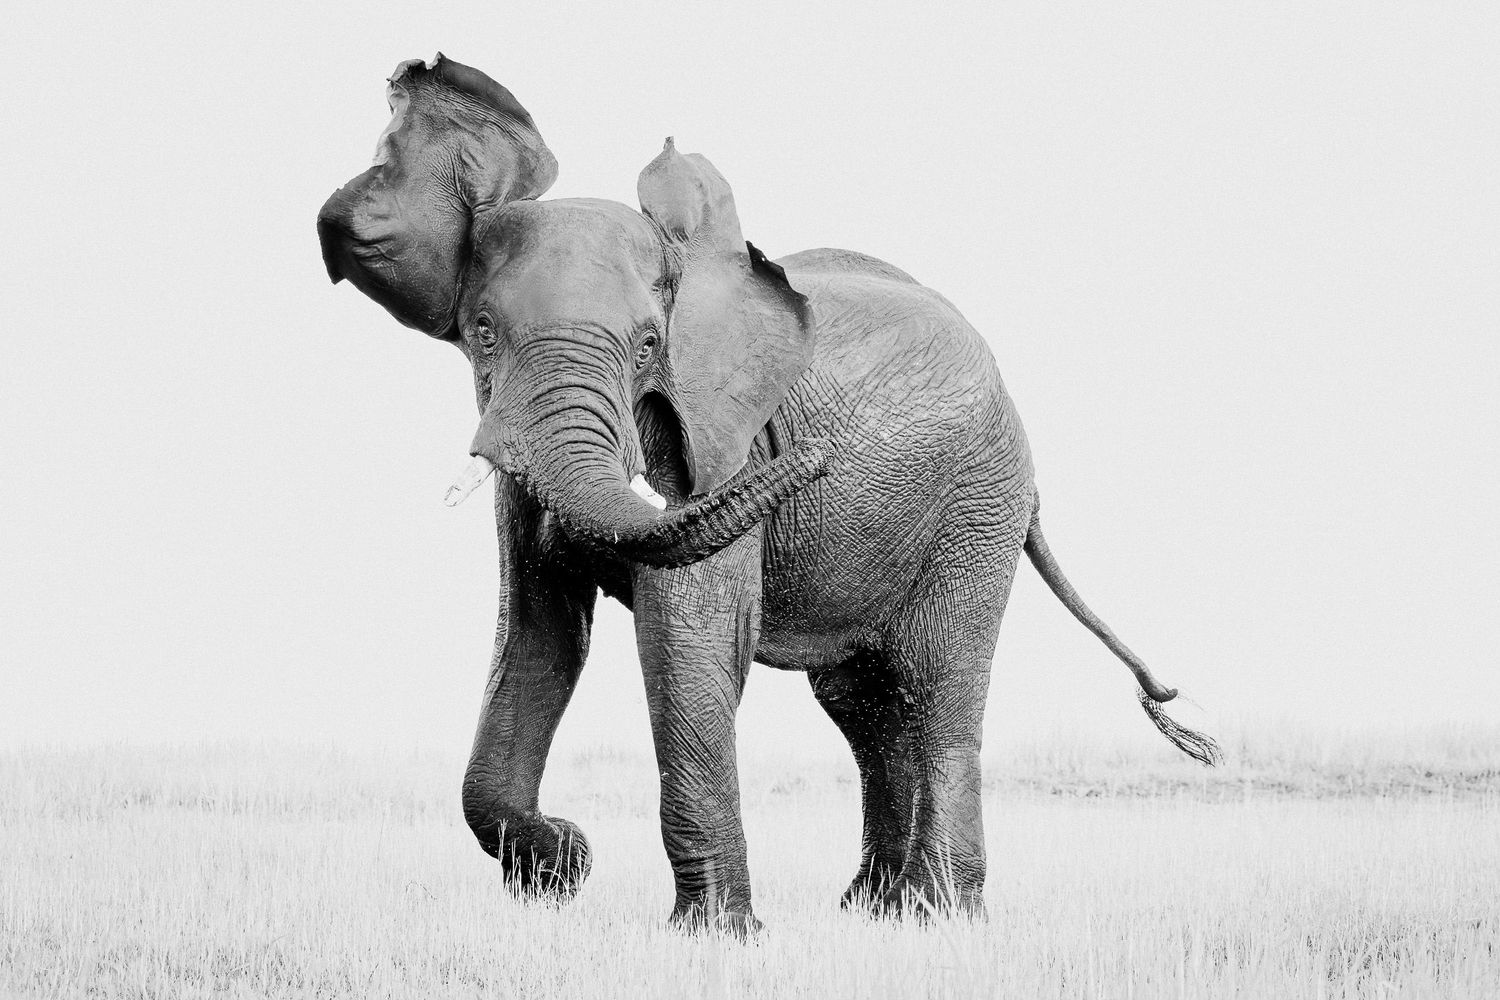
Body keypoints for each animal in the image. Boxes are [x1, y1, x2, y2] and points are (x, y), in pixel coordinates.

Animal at [316, 55, 1219, 933]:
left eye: (649, 346)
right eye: (482, 335)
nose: (811, 461)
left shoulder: (724, 445)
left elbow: (689, 631)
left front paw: (713, 936)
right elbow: (538, 634)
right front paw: (563, 869)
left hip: (981, 500)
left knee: (937, 685)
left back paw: (942, 917)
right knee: (864, 704)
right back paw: (877, 911)